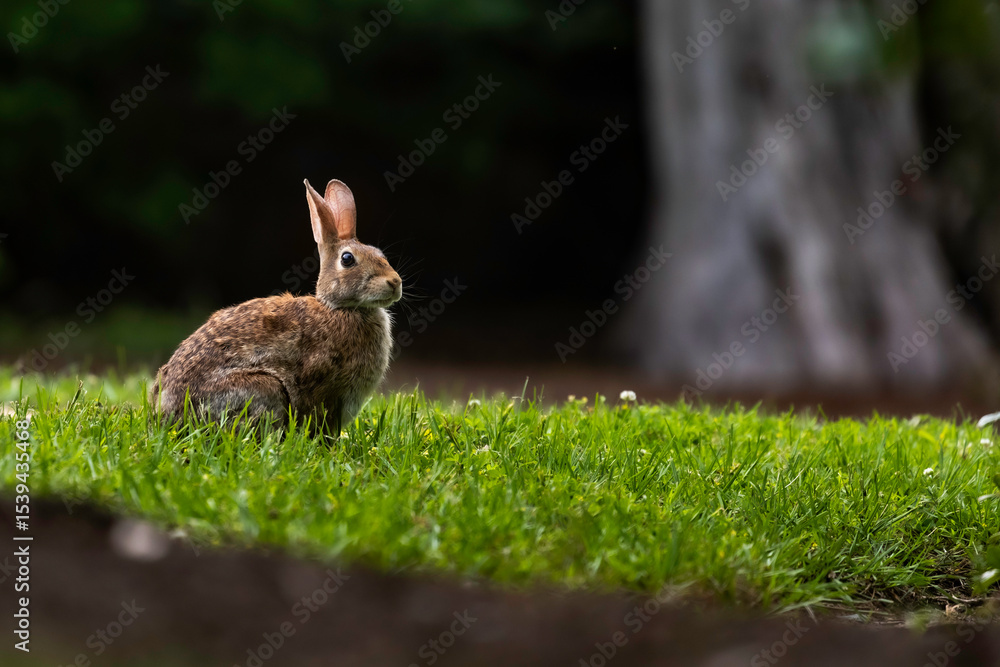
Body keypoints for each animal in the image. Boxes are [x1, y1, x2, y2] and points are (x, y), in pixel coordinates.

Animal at [150, 178, 402, 432]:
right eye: (347, 259)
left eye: (380, 253)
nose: (395, 282)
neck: (340, 308)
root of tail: (168, 413)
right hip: (265, 388)